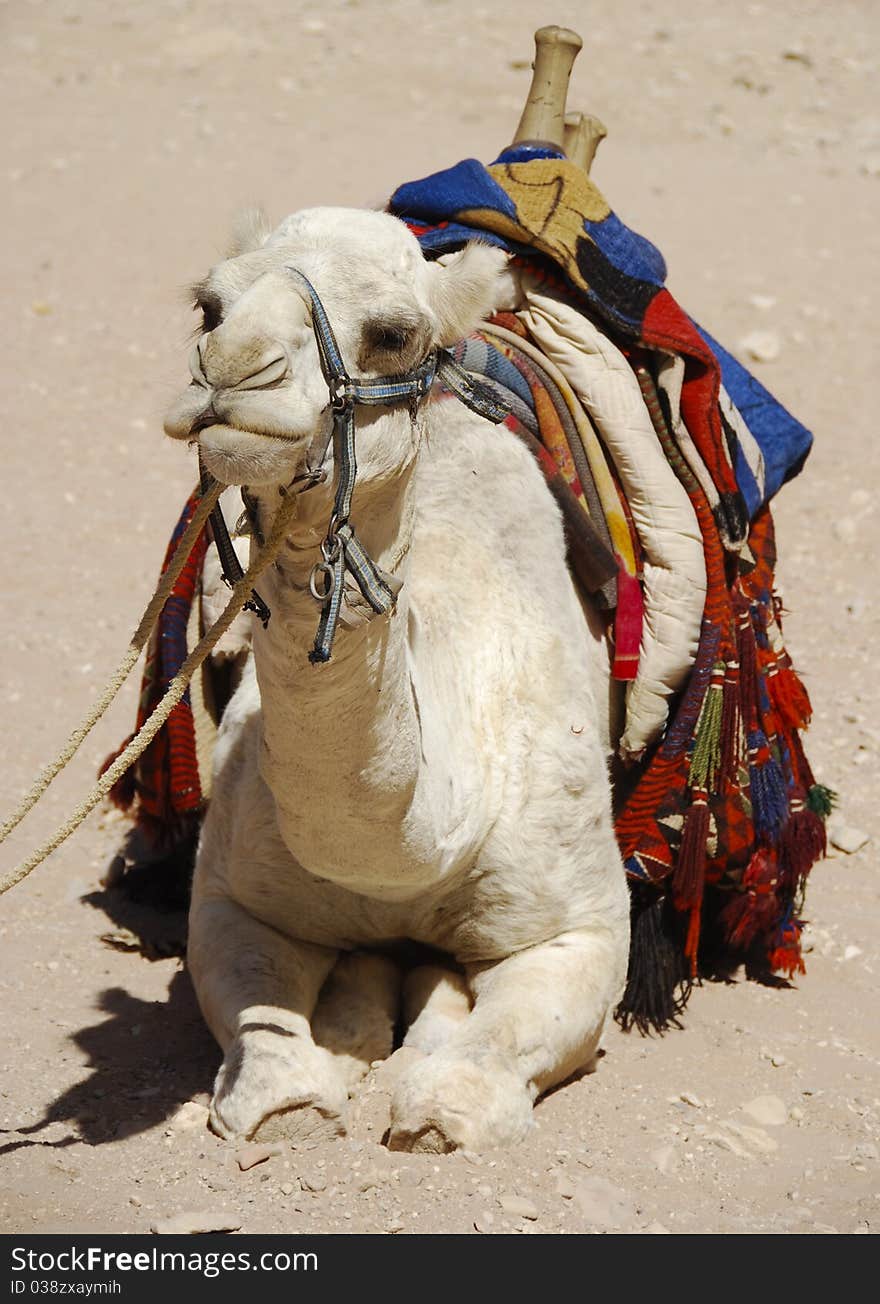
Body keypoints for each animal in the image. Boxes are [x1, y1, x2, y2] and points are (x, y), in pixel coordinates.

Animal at [163, 208, 633, 1157]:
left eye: (391, 334)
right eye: (209, 307)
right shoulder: (229, 896)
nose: (233, 370)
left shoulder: (585, 927)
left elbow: (492, 1052)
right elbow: (263, 1027)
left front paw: (437, 1104)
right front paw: (296, 1091)